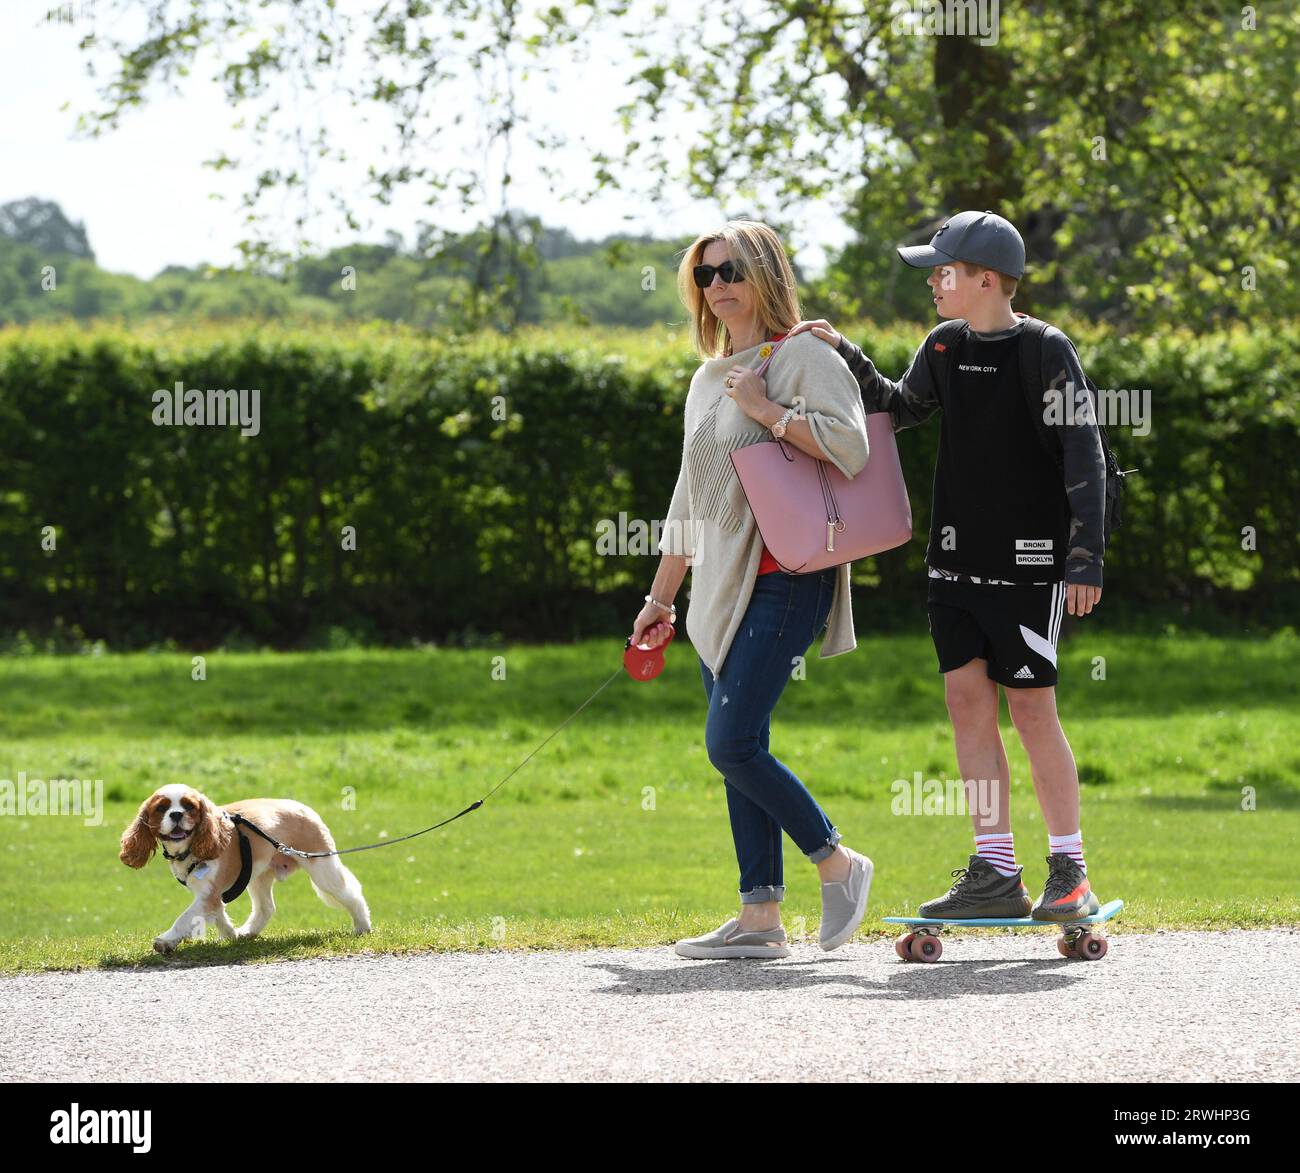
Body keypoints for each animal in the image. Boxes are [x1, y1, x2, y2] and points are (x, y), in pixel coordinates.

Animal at [120, 780, 371, 957]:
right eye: (161, 808)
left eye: (189, 807)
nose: (176, 814)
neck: (190, 849)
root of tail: (303, 807)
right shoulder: (210, 896)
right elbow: (218, 915)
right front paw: (231, 936)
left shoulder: (207, 895)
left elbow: (184, 918)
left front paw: (166, 940)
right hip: (258, 876)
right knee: (266, 908)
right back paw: (248, 932)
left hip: (322, 868)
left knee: (352, 895)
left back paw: (362, 927)